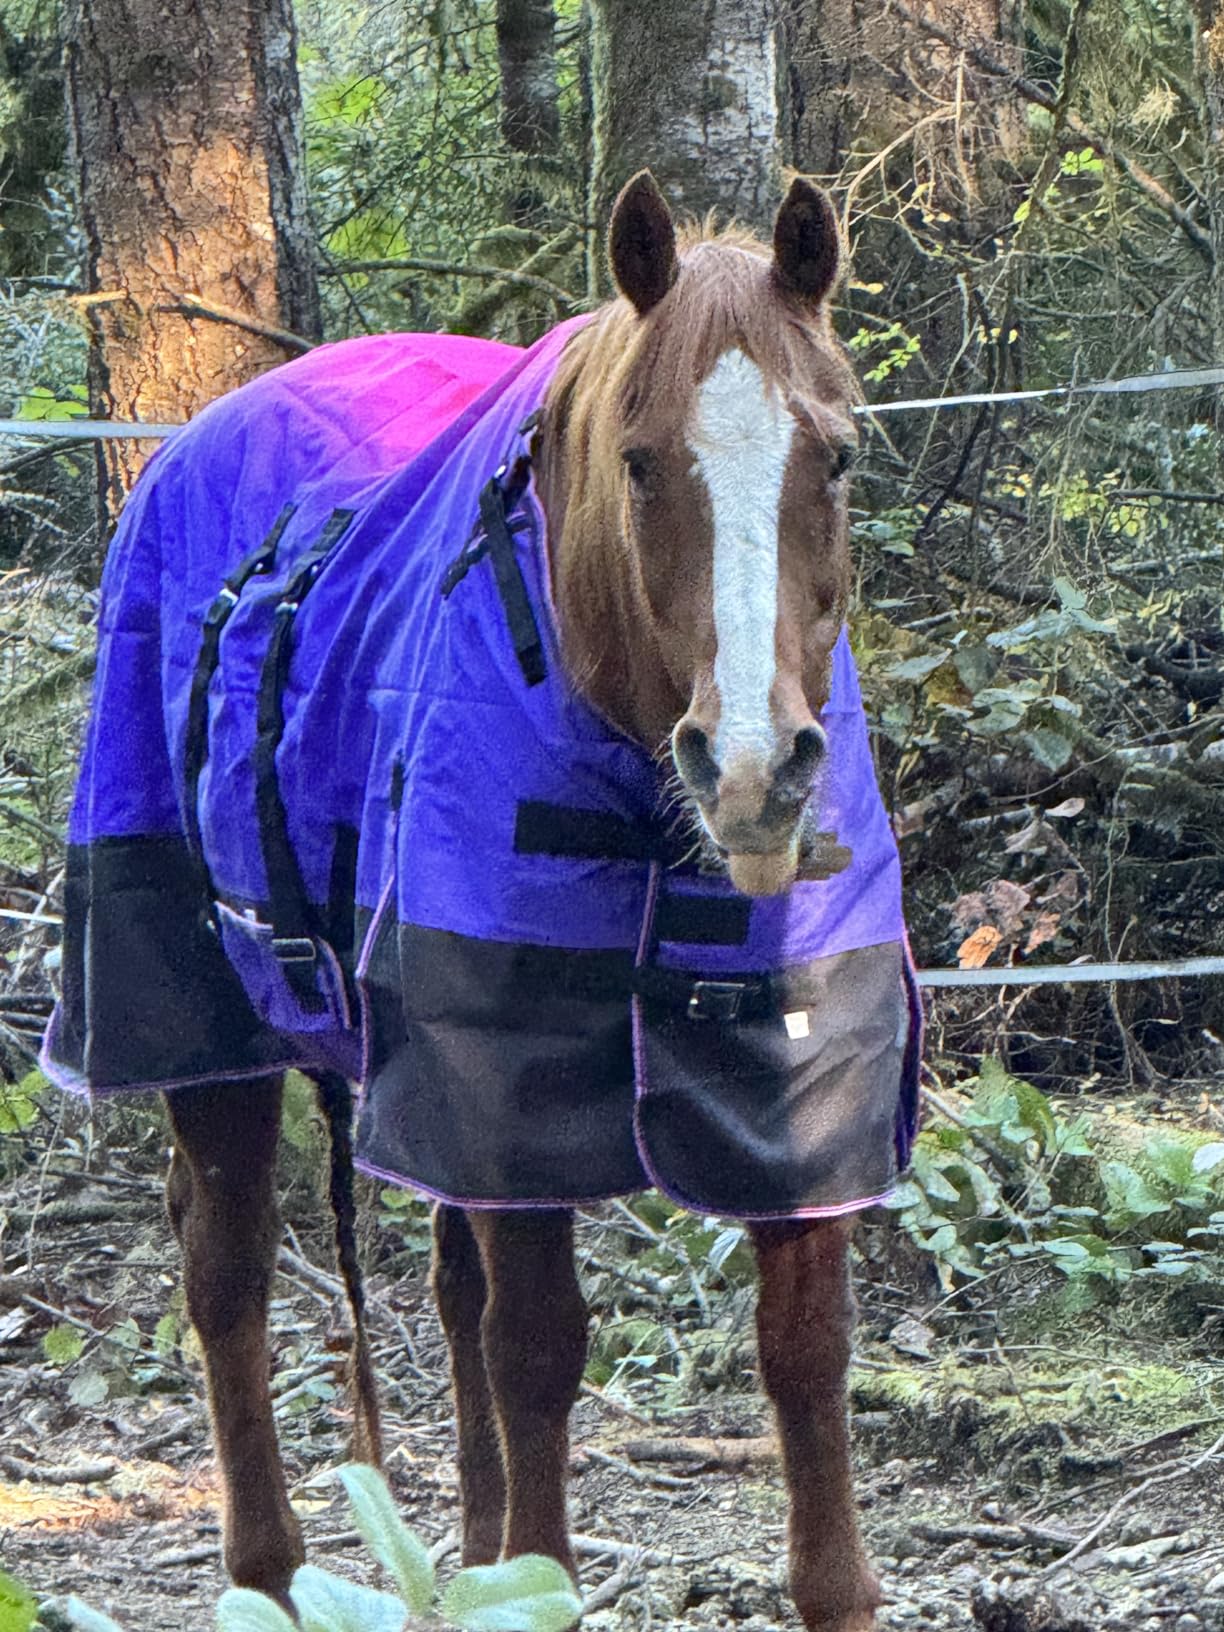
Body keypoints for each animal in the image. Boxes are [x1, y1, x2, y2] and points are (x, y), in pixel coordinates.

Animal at [43, 172, 919, 1632]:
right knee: (226, 1271)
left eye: (841, 456)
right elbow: (539, 1352)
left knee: (447, 1296)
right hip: (210, 1026)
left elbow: (804, 1356)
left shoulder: (785, 1092)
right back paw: (267, 1572)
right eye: (639, 462)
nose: (751, 771)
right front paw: (542, 1579)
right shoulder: (513, 1089)